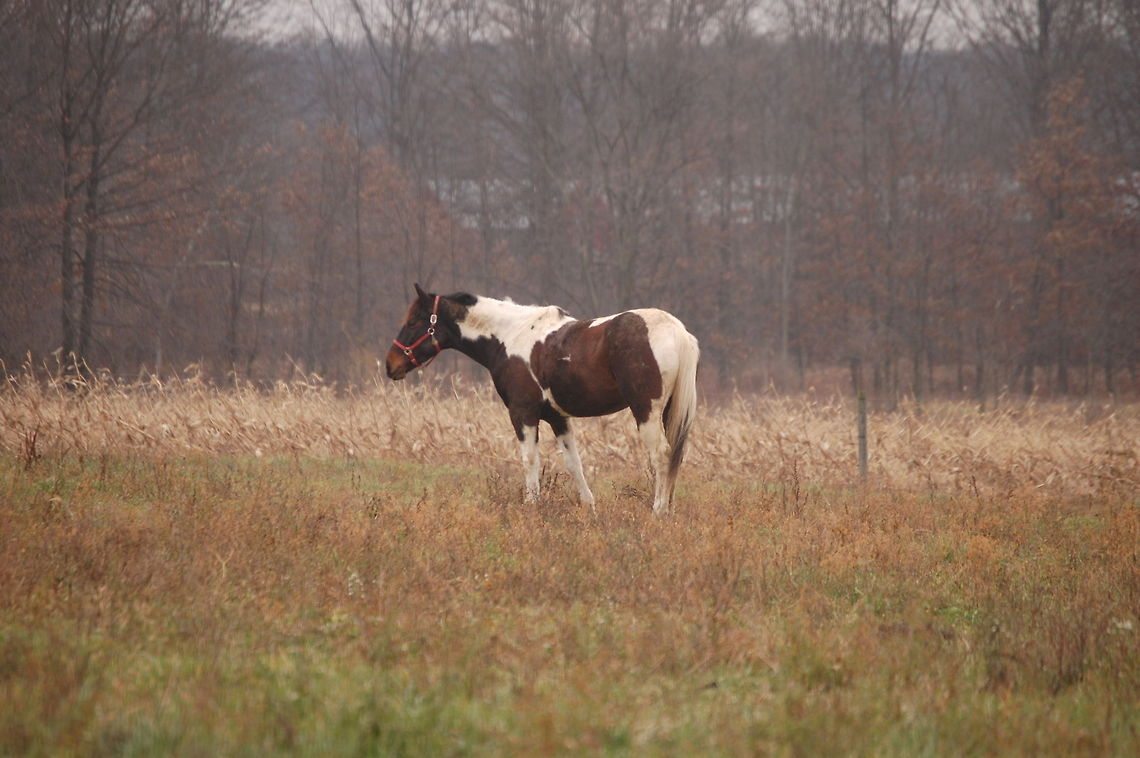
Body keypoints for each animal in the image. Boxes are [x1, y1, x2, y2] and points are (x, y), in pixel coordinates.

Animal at [385, 284, 700, 515]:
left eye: (414, 321)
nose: (391, 365)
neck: (509, 336)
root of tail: (676, 330)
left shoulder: (522, 413)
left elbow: (529, 460)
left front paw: (531, 506)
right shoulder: (558, 418)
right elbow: (574, 463)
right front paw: (589, 507)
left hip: (646, 411)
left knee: (661, 455)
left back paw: (658, 512)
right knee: (675, 455)